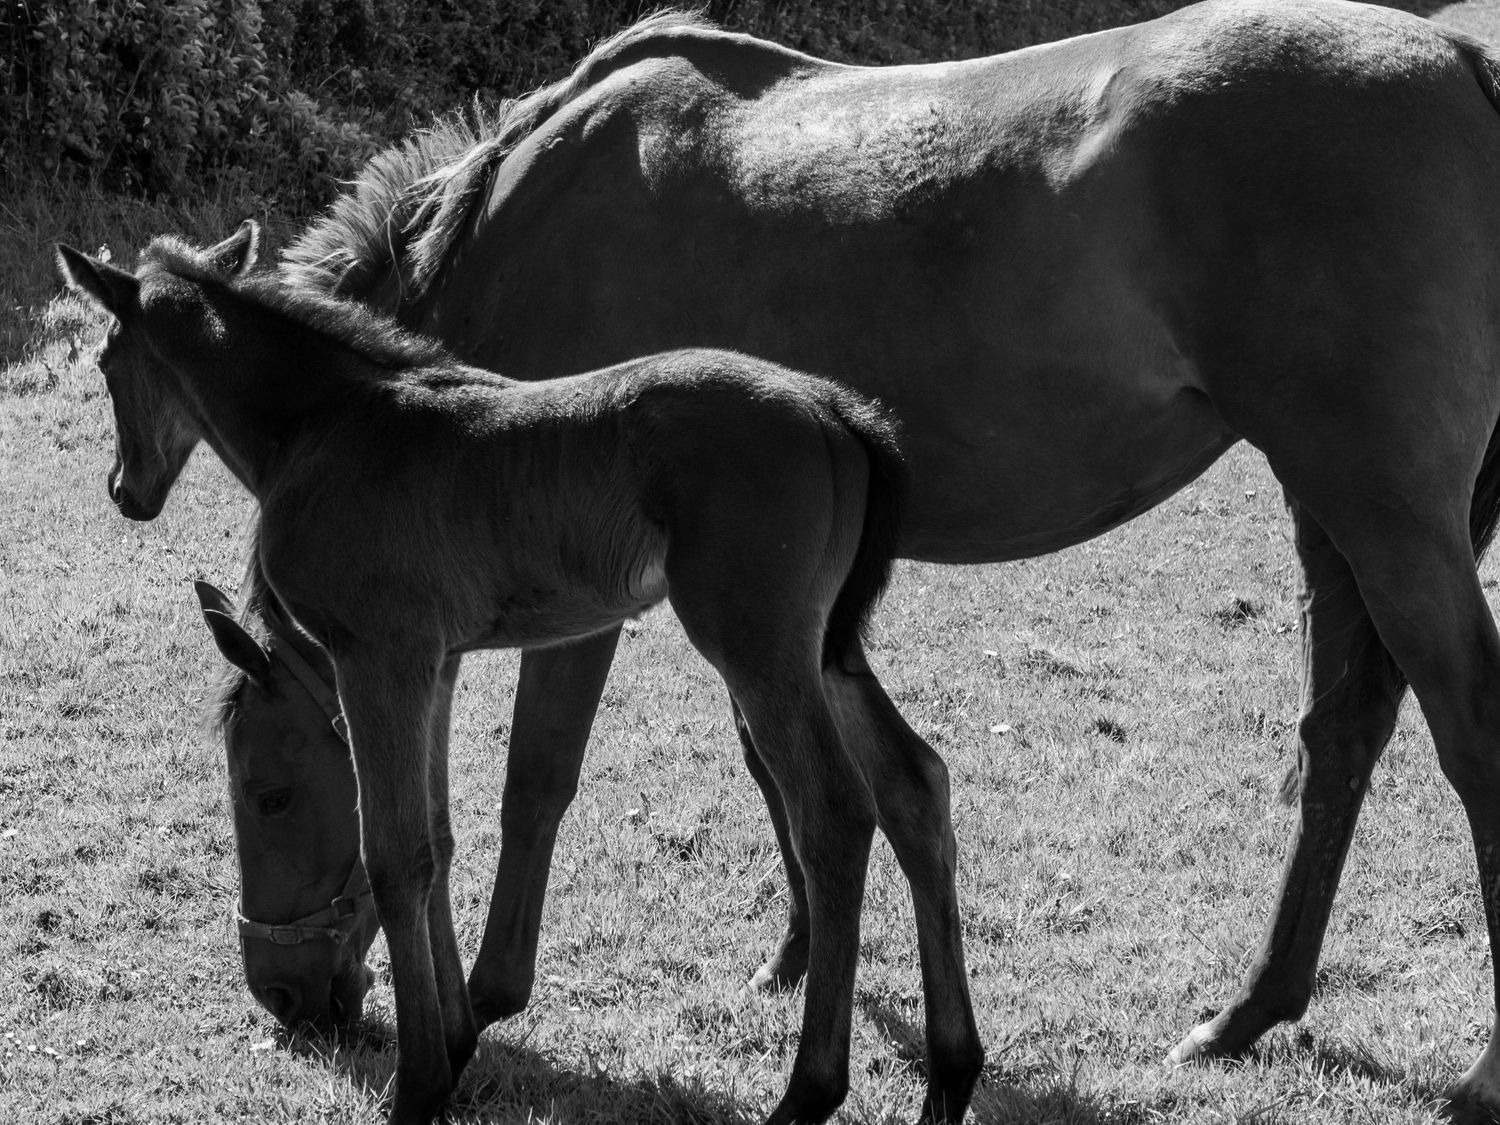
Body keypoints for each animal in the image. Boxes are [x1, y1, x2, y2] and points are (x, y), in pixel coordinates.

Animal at [55, 222, 984, 1125]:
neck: (328, 424)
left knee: (834, 813)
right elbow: (435, 840)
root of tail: (834, 409)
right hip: (825, 648)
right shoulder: (434, 663)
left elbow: (394, 855)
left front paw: (421, 1082)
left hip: (760, 643)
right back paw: (951, 1073)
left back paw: (808, 1093)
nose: (124, 489)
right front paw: (456, 1042)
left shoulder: (377, 655)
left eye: (268, 794)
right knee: (914, 783)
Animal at [263, 0, 1500, 1116]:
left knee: (1468, 746)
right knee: (1342, 738)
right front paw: (800, 952)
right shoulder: (767, 600)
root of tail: (1455, 53)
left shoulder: (587, 596)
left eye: (275, 786)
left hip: (1386, 515)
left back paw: (1478, 1075)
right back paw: (1248, 1014)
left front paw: (484, 1002)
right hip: (1333, 515)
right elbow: (780, 767)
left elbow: (539, 783)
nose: (294, 1007)